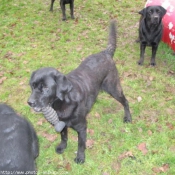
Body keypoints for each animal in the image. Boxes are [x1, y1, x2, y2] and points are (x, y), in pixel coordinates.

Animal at [27, 20, 131, 164]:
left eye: (46, 88)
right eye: (32, 86)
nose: (30, 102)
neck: (62, 104)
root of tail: (105, 53)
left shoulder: (82, 127)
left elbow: (81, 144)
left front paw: (80, 158)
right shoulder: (62, 124)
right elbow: (63, 136)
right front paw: (62, 147)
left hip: (113, 88)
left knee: (125, 101)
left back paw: (128, 117)